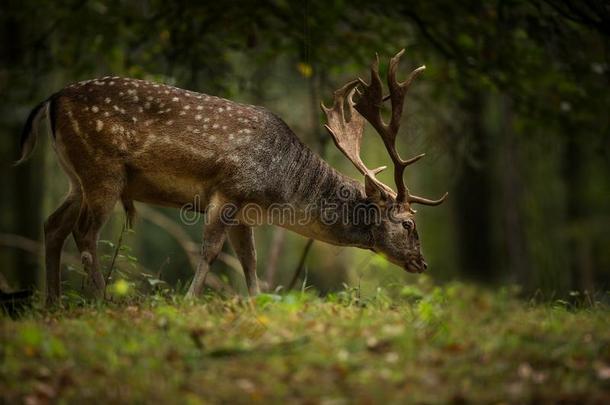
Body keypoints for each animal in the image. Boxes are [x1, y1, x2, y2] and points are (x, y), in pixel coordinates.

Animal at [16, 49, 444, 304]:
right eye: (408, 223)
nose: (423, 263)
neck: (282, 184)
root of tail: (51, 100)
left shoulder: (247, 211)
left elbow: (249, 261)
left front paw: (255, 304)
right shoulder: (228, 190)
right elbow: (210, 250)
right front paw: (191, 301)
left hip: (76, 178)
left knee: (53, 225)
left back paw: (54, 303)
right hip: (102, 170)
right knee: (83, 232)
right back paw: (102, 301)